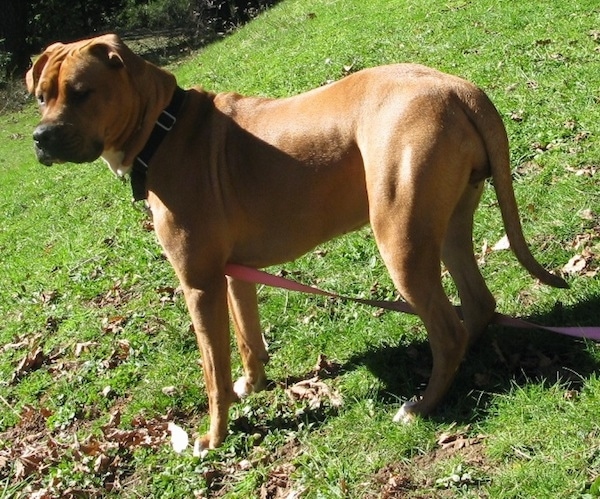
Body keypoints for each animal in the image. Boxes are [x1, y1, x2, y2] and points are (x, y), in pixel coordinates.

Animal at [24, 33, 568, 452]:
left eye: (82, 92)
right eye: (42, 95)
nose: (41, 137)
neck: (163, 126)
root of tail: (457, 88)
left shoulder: (198, 285)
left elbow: (213, 374)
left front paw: (213, 438)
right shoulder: (232, 274)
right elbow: (247, 340)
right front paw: (253, 383)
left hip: (402, 240)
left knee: (448, 327)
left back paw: (421, 405)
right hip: (450, 225)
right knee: (475, 305)